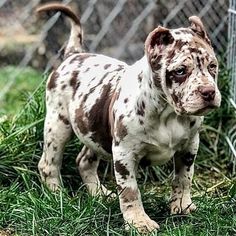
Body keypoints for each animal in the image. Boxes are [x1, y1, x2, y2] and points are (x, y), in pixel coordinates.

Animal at [37, 2, 221, 233]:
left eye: (213, 66)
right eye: (180, 71)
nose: (209, 92)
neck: (167, 112)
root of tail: (74, 55)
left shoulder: (189, 146)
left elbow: (184, 177)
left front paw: (181, 205)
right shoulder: (124, 154)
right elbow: (130, 191)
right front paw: (138, 222)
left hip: (94, 129)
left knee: (85, 161)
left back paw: (100, 194)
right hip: (57, 125)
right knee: (48, 164)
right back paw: (57, 197)